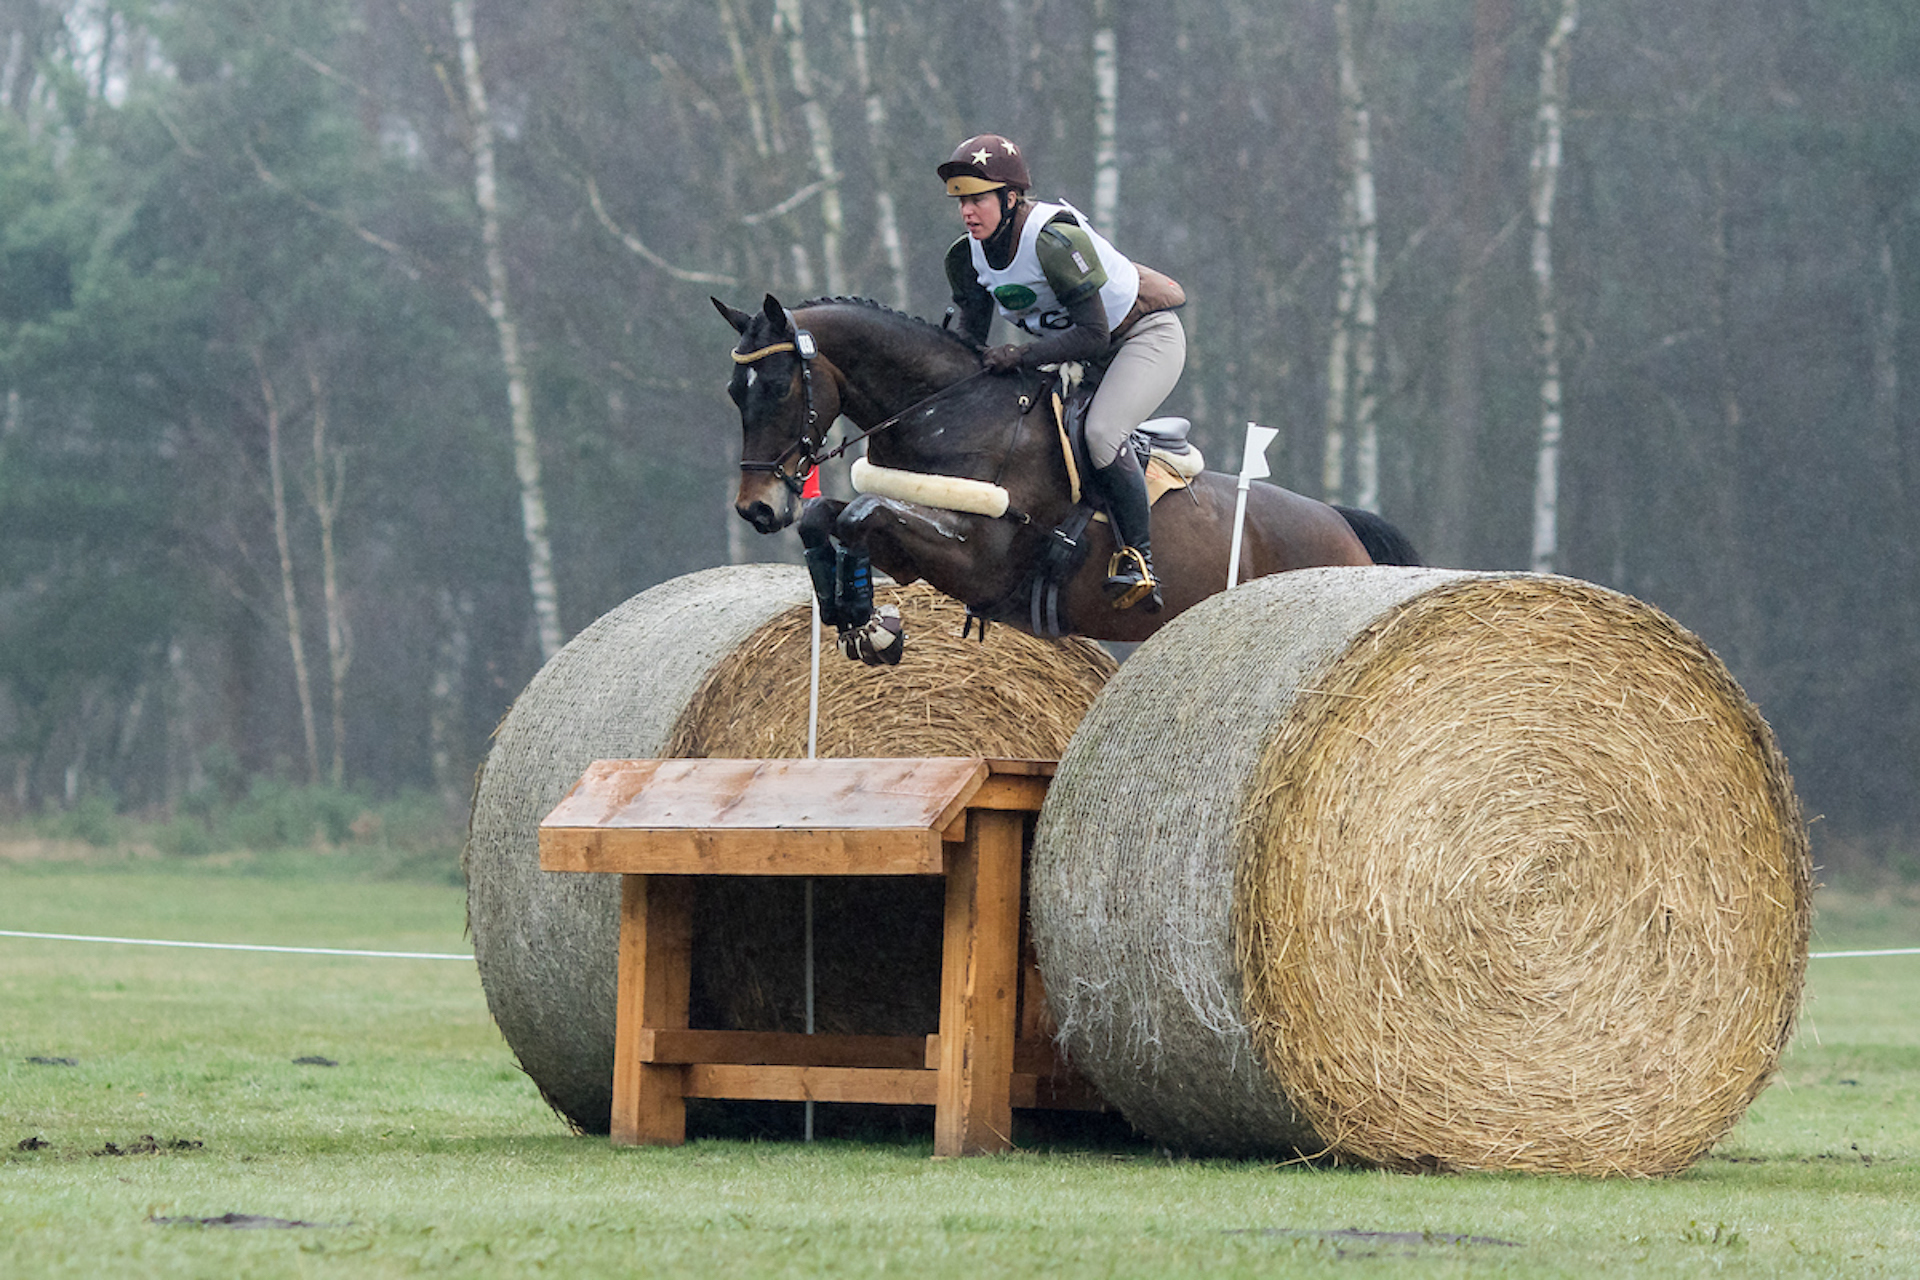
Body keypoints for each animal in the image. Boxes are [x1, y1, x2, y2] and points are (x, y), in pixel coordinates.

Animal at [715, 292, 1419, 659]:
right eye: (732, 391)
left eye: (776, 386)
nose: (755, 509)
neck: (949, 412)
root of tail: (1342, 526)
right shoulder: (911, 544)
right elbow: (829, 516)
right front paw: (854, 614)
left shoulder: (980, 555)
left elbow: (862, 514)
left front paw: (871, 625)